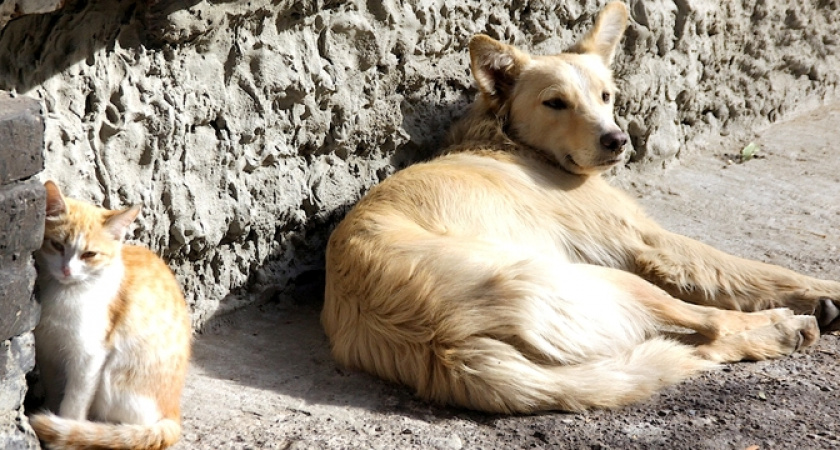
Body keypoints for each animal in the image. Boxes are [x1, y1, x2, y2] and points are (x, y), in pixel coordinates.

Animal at [28, 180, 191, 450]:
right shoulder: (47, 349)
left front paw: (64, 432)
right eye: (57, 245)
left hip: (115, 380)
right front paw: (51, 411)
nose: (66, 270)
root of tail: (173, 412)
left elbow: (74, 402)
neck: (63, 291)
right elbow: (54, 387)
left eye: (89, 255)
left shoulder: (90, 355)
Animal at [320, 1, 840, 414]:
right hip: (616, 284)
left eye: (606, 96)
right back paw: (786, 328)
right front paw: (824, 290)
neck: (508, 140)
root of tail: (445, 345)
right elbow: (761, 273)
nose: (618, 140)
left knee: (693, 349)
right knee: (710, 326)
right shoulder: (652, 243)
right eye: (555, 103)